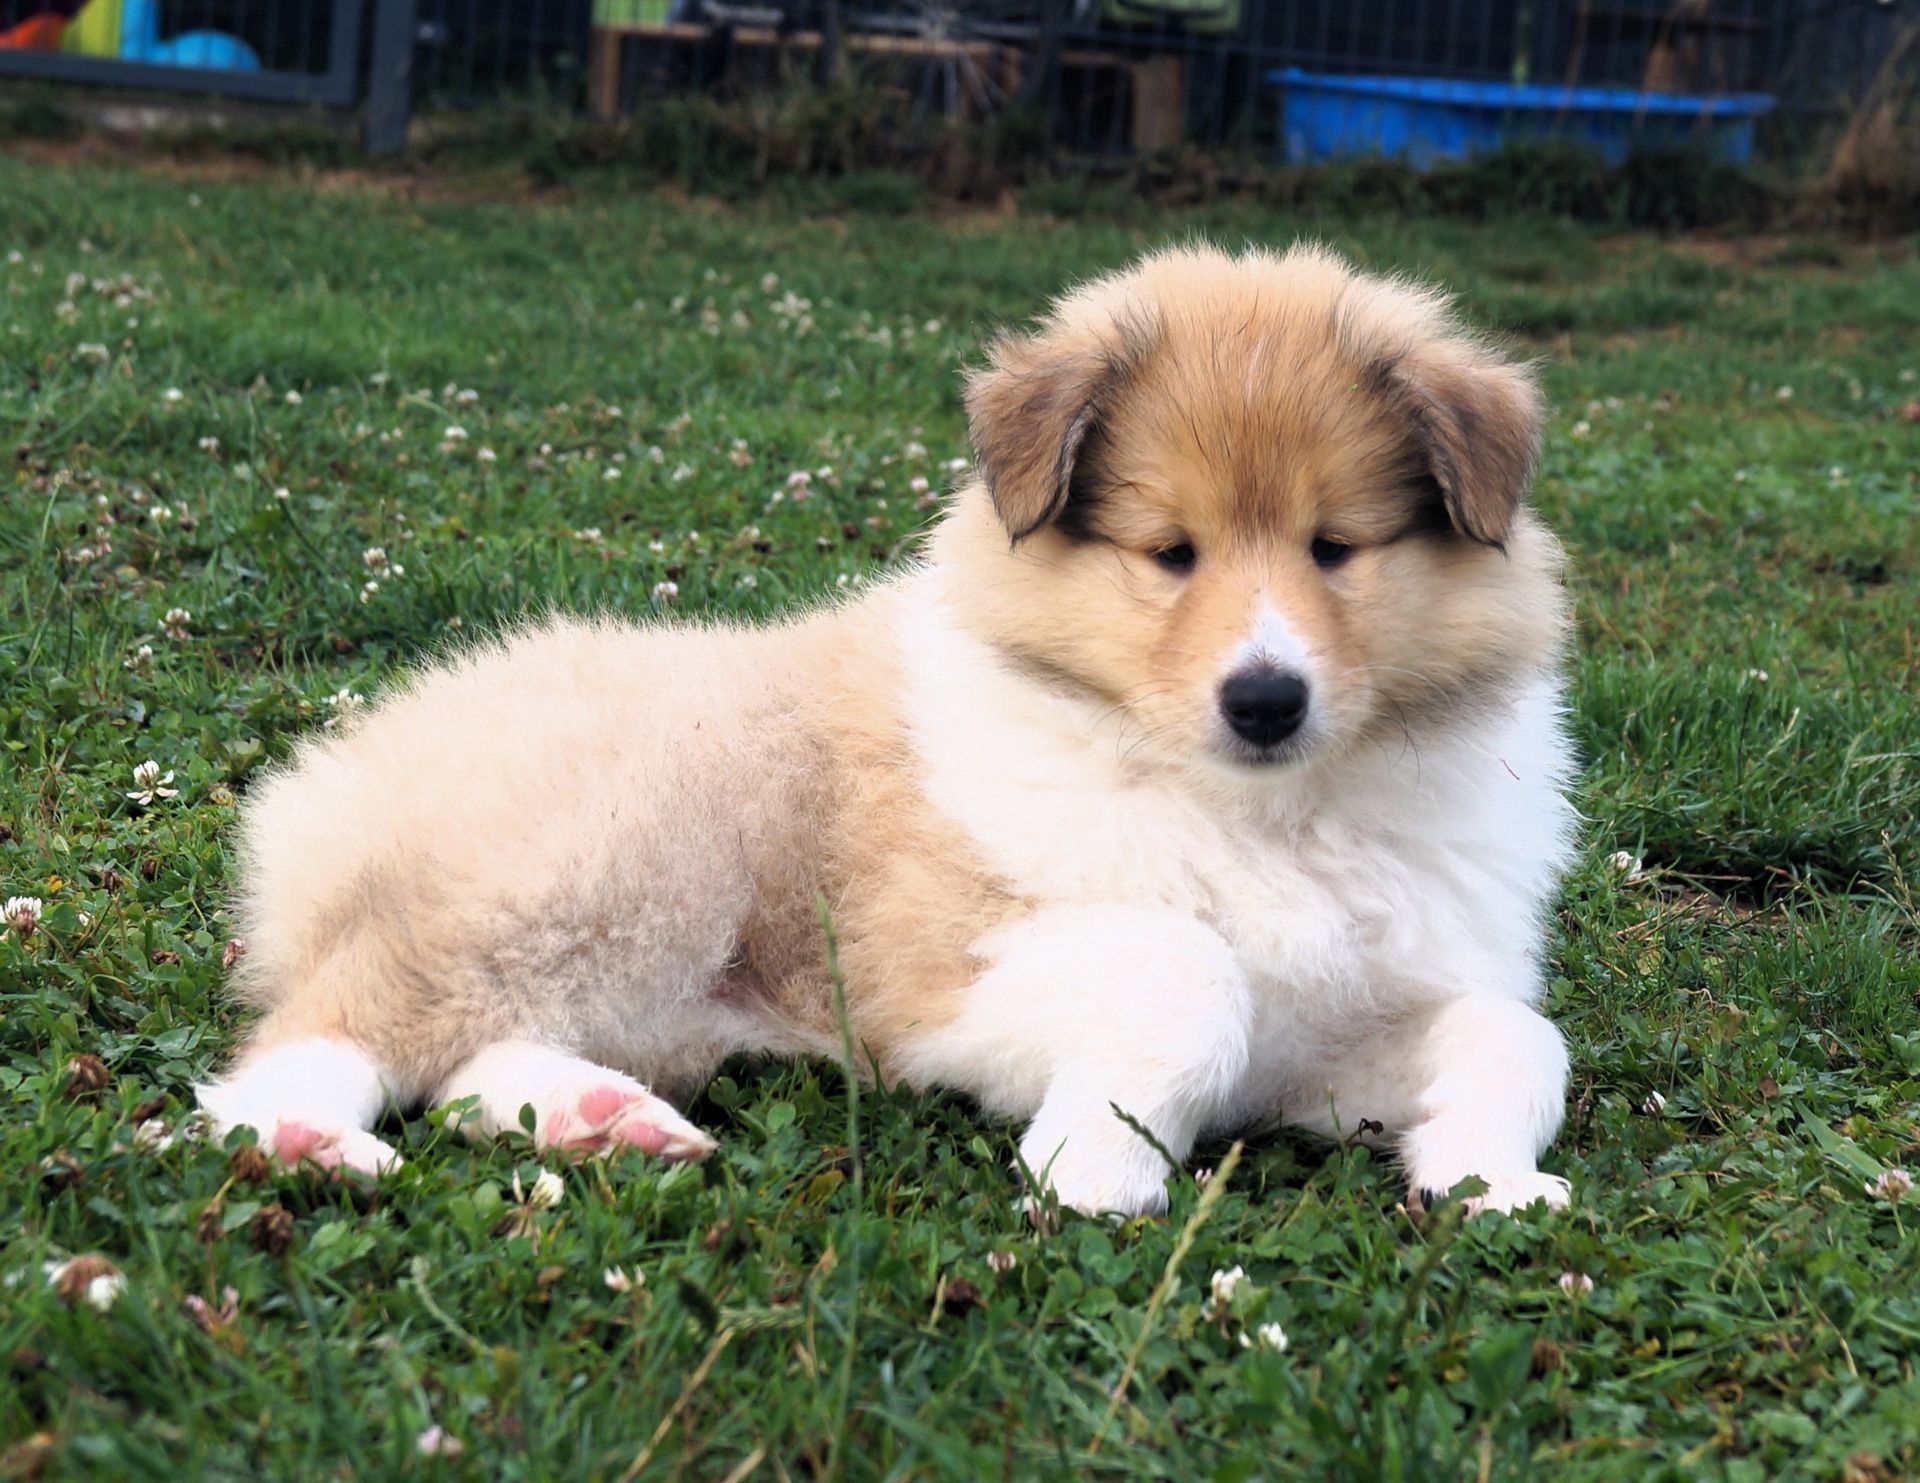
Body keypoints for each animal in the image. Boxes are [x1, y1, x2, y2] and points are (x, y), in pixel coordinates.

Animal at [198, 243, 1578, 1218]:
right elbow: (1190, 968)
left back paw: (599, 1117)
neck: (1259, 808)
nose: (1266, 700)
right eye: (1170, 552)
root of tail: (332, 777)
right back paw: (300, 1134)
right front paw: (1099, 1165)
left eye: (1337, 547)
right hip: (606, 858)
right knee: (350, 1010)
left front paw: (1490, 1182)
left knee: (480, 1051)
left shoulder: (1335, 1029)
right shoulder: (931, 968)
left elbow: (1518, 1033)